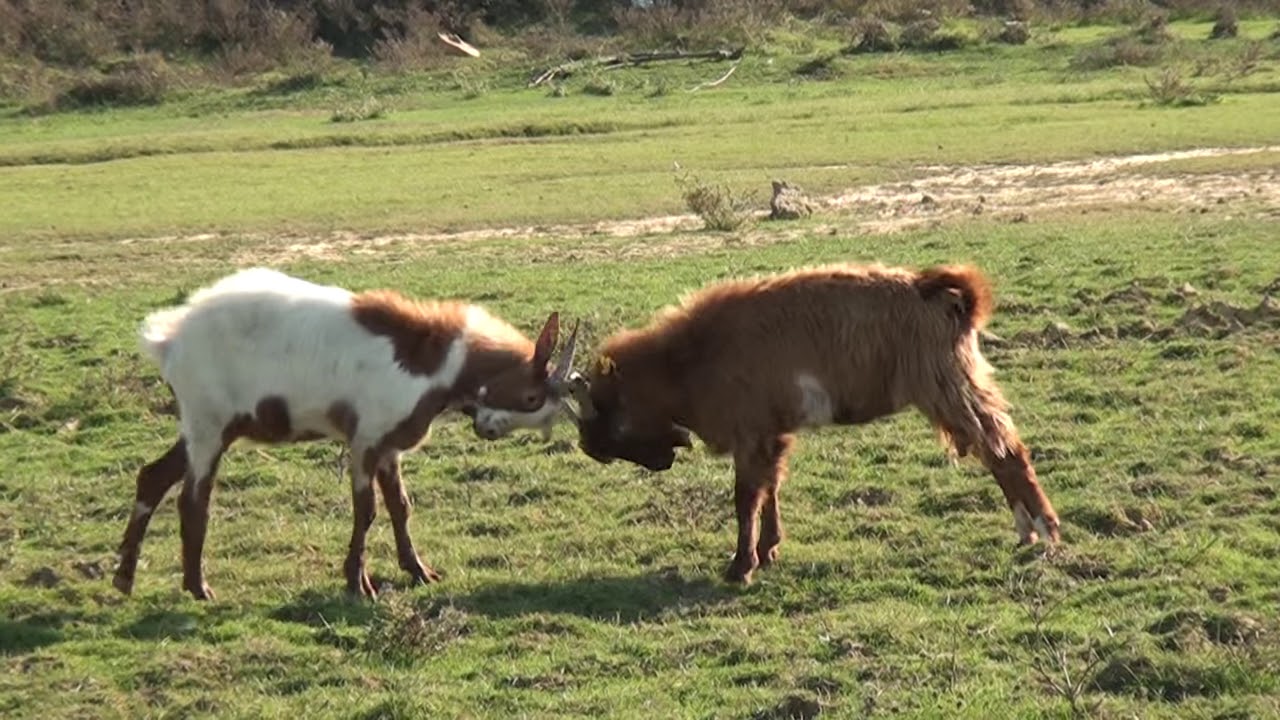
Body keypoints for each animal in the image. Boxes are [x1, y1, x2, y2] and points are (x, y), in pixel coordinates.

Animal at [114, 268, 579, 600]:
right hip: (208, 425)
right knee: (194, 500)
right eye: (533, 398)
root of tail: (170, 340)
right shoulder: (365, 441)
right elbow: (367, 510)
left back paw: (125, 578)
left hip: (204, 427)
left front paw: (419, 571)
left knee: (152, 476)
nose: (487, 429)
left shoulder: (390, 446)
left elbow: (400, 507)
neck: (429, 360)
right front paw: (359, 584)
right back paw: (198, 588)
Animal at [564, 262, 1060, 584]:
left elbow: (746, 498)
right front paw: (768, 550)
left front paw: (740, 567)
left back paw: (1043, 529)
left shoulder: (750, 433)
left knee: (1005, 450)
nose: (590, 447)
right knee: (999, 450)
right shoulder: (772, 433)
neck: (691, 357)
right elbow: (770, 490)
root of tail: (944, 294)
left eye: (608, 414)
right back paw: (1029, 531)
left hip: (948, 388)